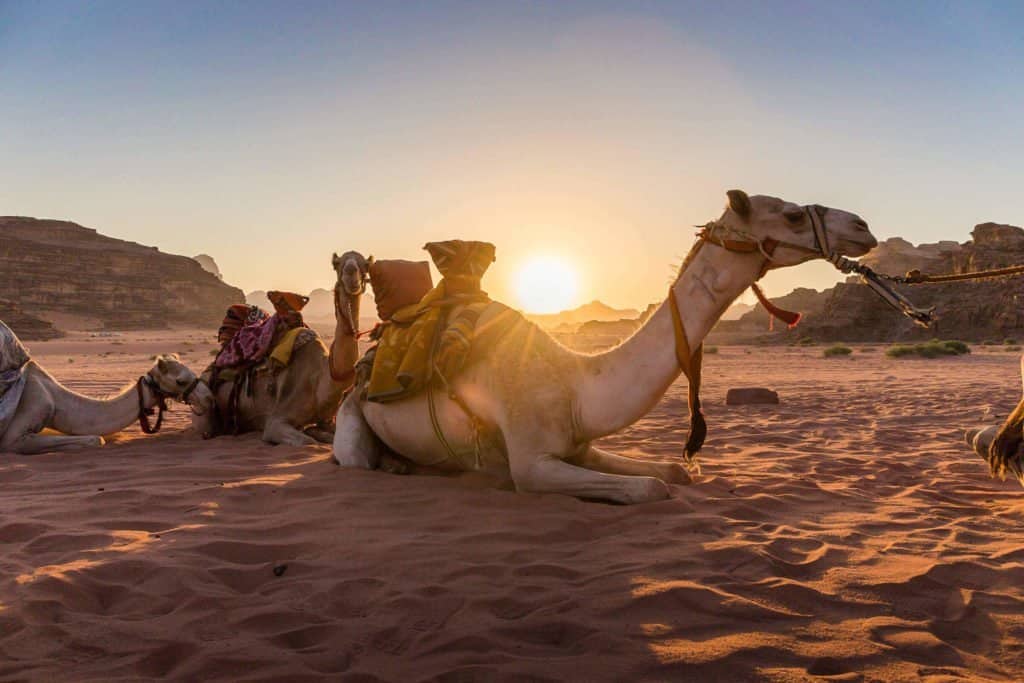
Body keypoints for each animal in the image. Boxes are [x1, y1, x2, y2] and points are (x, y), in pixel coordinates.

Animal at [190, 250, 370, 448]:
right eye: (336, 264)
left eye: (366, 264)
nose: (351, 274)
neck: (324, 378)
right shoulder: (276, 421)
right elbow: (307, 441)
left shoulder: (328, 420)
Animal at [335, 191, 880, 501]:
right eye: (791, 215)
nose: (863, 226)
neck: (575, 383)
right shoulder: (531, 463)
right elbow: (652, 489)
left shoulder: (580, 445)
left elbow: (672, 473)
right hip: (352, 420)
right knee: (354, 460)